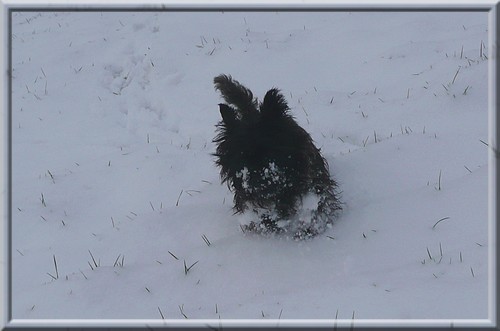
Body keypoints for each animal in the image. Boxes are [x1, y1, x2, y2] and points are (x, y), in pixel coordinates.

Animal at [211, 74, 340, 240]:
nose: (256, 180)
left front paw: (307, 230)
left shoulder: (314, 182)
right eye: (240, 157)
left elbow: (316, 207)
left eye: (270, 151)